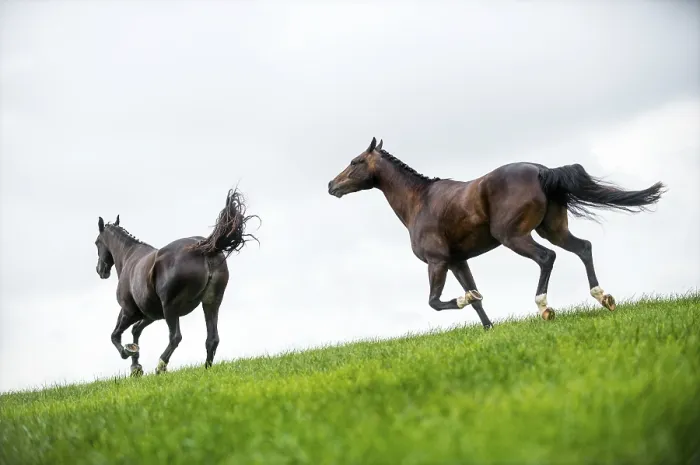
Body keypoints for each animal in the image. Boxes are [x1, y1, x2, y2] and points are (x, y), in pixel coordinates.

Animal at [94, 188, 259, 376]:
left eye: (97, 243)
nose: (100, 270)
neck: (129, 256)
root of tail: (204, 248)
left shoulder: (129, 311)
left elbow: (115, 335)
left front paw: (129, 354)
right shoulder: (150, 315)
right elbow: (136, 331)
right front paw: (136, 366)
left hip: (170, 308)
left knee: (175, 337)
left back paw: (161, 366)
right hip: (211, 303)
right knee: (212, 338)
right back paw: (206, 369)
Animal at [327, 137, 666, 328]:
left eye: (356, 161)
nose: (332, 185)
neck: (419, 202)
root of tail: (541, 170)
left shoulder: (438, 262)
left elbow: (436, 301)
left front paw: (465, 301)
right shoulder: (458, 261)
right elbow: (477, 299)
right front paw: (489, 328)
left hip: (514, 237)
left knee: (547, 257)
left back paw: (545, 308)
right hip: (553, 230)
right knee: (583, 248)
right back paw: (603, 297)